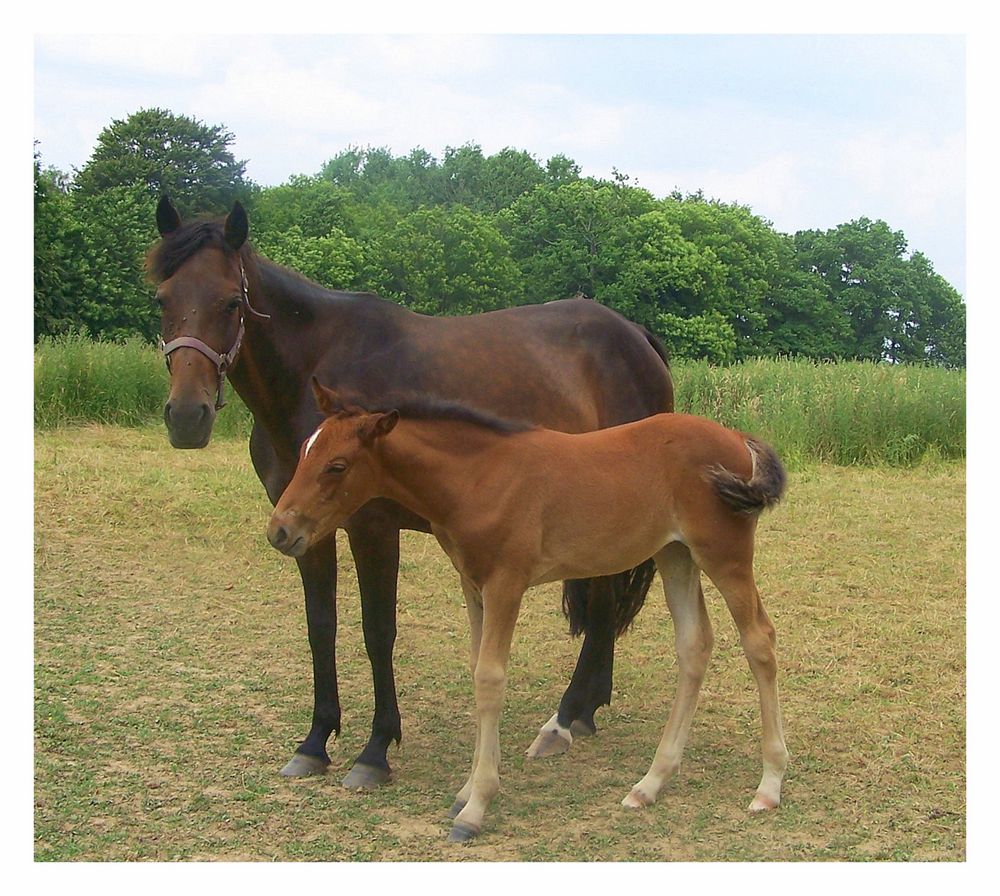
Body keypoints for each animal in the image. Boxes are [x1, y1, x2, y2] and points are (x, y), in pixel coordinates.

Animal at [268, 382, 788, 844]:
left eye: (337, 466)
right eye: (304, 452)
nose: (280, 530)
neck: (479, 477)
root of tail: (737, 438)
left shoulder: (506, 584)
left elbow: (490, 680)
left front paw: (476, 807)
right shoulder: (473, 584)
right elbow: (477, 669)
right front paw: (466, 792)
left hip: (723, 554)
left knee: (759, 639)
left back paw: (769, 786)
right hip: (675, 554)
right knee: (694, 645)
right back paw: (649, 784)